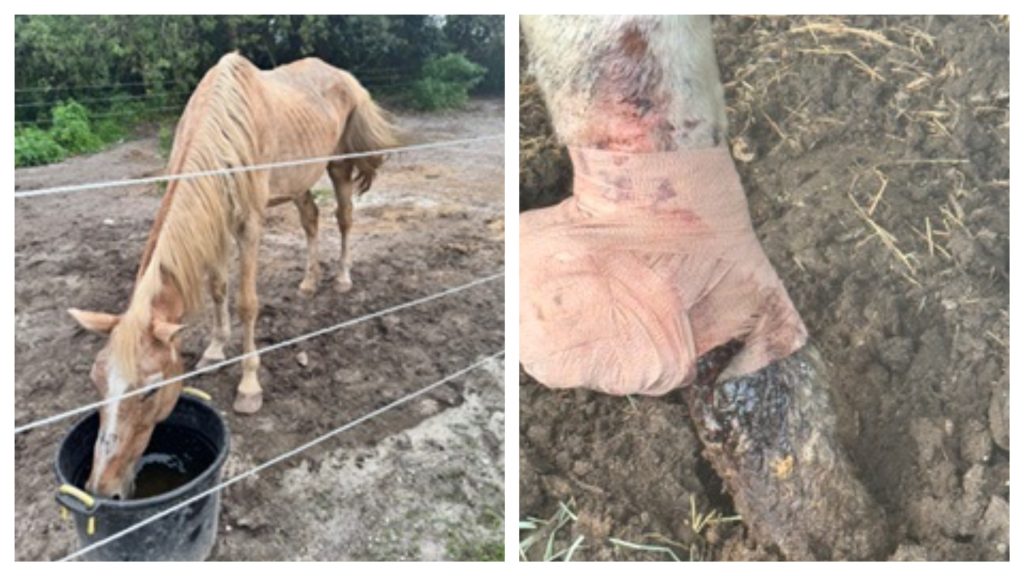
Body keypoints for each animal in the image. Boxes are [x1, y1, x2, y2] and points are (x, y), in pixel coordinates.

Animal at [68, 52, 397, 498]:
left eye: (151, 389)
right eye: (96, 381)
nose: (104, 489)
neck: (222, 128)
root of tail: (344, 76)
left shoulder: (250, 225)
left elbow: (246, 302)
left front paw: (249, 387)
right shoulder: (216, 221)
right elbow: (218, 287)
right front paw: (214, 349)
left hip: (339, 166)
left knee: (344, 219)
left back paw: (343, 279)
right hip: (300, 180)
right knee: (311, 220)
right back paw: (309, 283)